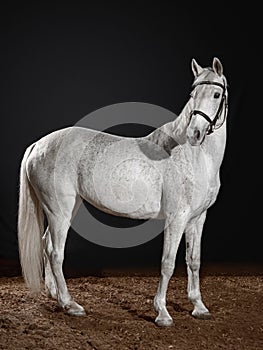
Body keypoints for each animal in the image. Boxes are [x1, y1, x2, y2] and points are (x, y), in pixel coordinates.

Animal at [18, 56, 229, 326]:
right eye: (193, 94)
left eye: (216, 94)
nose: (195, 134)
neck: (194, 156)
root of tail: (38, 145)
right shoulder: (177, 218)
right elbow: (168, 263)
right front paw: (162, 313)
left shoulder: (197, 218)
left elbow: (194, 261)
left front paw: (199, 307)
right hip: (59, 210)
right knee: (56, 252)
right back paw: (70, 304)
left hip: (66, 207)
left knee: (46, 244)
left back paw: (54, 294)